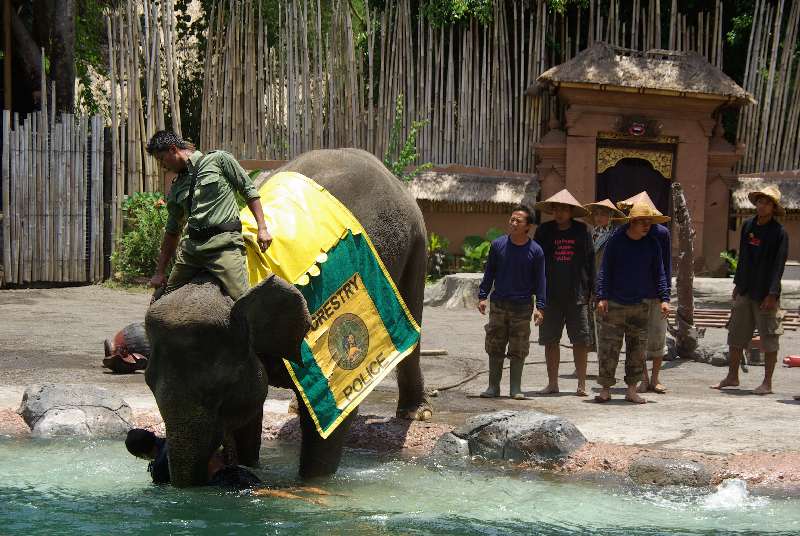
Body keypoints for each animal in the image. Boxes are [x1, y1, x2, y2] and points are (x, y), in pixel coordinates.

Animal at [144, 148, 431, 487]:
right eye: (149, 384)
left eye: (219, 391)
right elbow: (251, 409)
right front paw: (248, 466)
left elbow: (325, 420)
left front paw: (311, 486)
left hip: (417, 243)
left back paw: (416, 414)